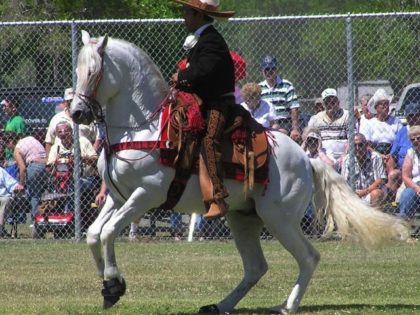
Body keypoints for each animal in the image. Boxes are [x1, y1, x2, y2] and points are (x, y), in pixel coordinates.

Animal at [70, 30, 408, 314]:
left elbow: (109, 231)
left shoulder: (145, 196)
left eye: (93, 72)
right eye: (77, 71)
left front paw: (113, 282)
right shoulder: (117, 196)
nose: (76, 113)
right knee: (256, 267)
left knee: (309, 257)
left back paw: (287, 306)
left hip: (279, 219)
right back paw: (220, 305)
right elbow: (94, 233)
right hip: (242, 218)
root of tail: (305, 159)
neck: (144, 128)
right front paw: (110, 286)